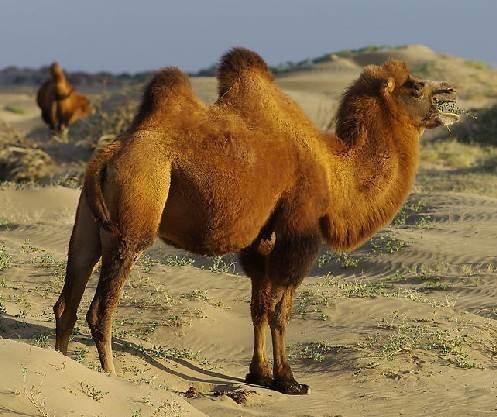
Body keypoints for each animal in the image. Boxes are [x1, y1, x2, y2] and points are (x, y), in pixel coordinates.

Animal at [53, 48, 458, 394]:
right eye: (416, 85)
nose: (451, 91)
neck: (334, 170)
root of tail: (108, 153)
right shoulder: (299, 231)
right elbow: (281, 310)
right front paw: (289, 380)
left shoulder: (261, 238)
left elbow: (258, 307)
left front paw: (259, 374)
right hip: (135, 213)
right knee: (100, 306)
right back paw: (112, 375)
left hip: (88, 221)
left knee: (68, 297)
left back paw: (62, 364)